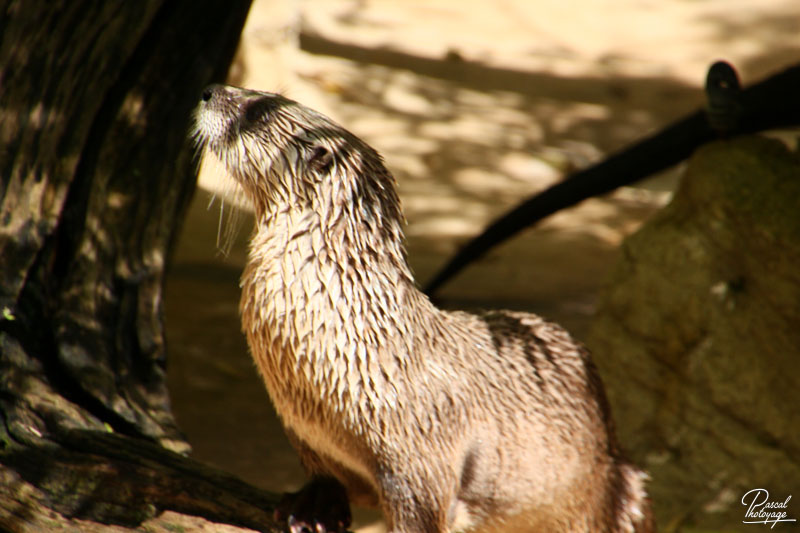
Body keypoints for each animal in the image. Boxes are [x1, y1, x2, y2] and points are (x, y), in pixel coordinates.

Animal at [191, 84, 652, 532]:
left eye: (258, 111)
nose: (209, 90)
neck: (360, 345)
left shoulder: (424, 457)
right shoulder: (308, 437)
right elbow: (325, 477)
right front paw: (311, 509)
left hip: (607, 494)